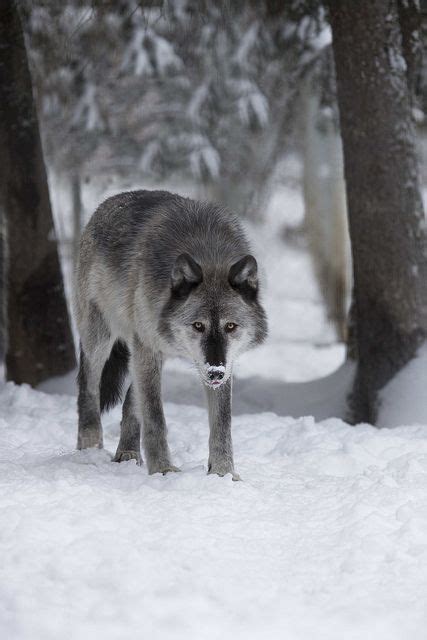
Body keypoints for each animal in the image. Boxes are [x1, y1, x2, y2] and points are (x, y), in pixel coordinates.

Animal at [74, 190, 268, 480]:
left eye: (231, 326)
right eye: (198, 326)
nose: (215, 372)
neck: (208, 253)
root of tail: (108, 203)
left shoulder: (225, 364)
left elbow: (222, 424)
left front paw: (222, 474)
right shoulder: (148, 348)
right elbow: (155, 417)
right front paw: (163, 470)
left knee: (130, 402)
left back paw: (127, 454)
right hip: (102, 339)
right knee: (89, 388)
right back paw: (89, 449)